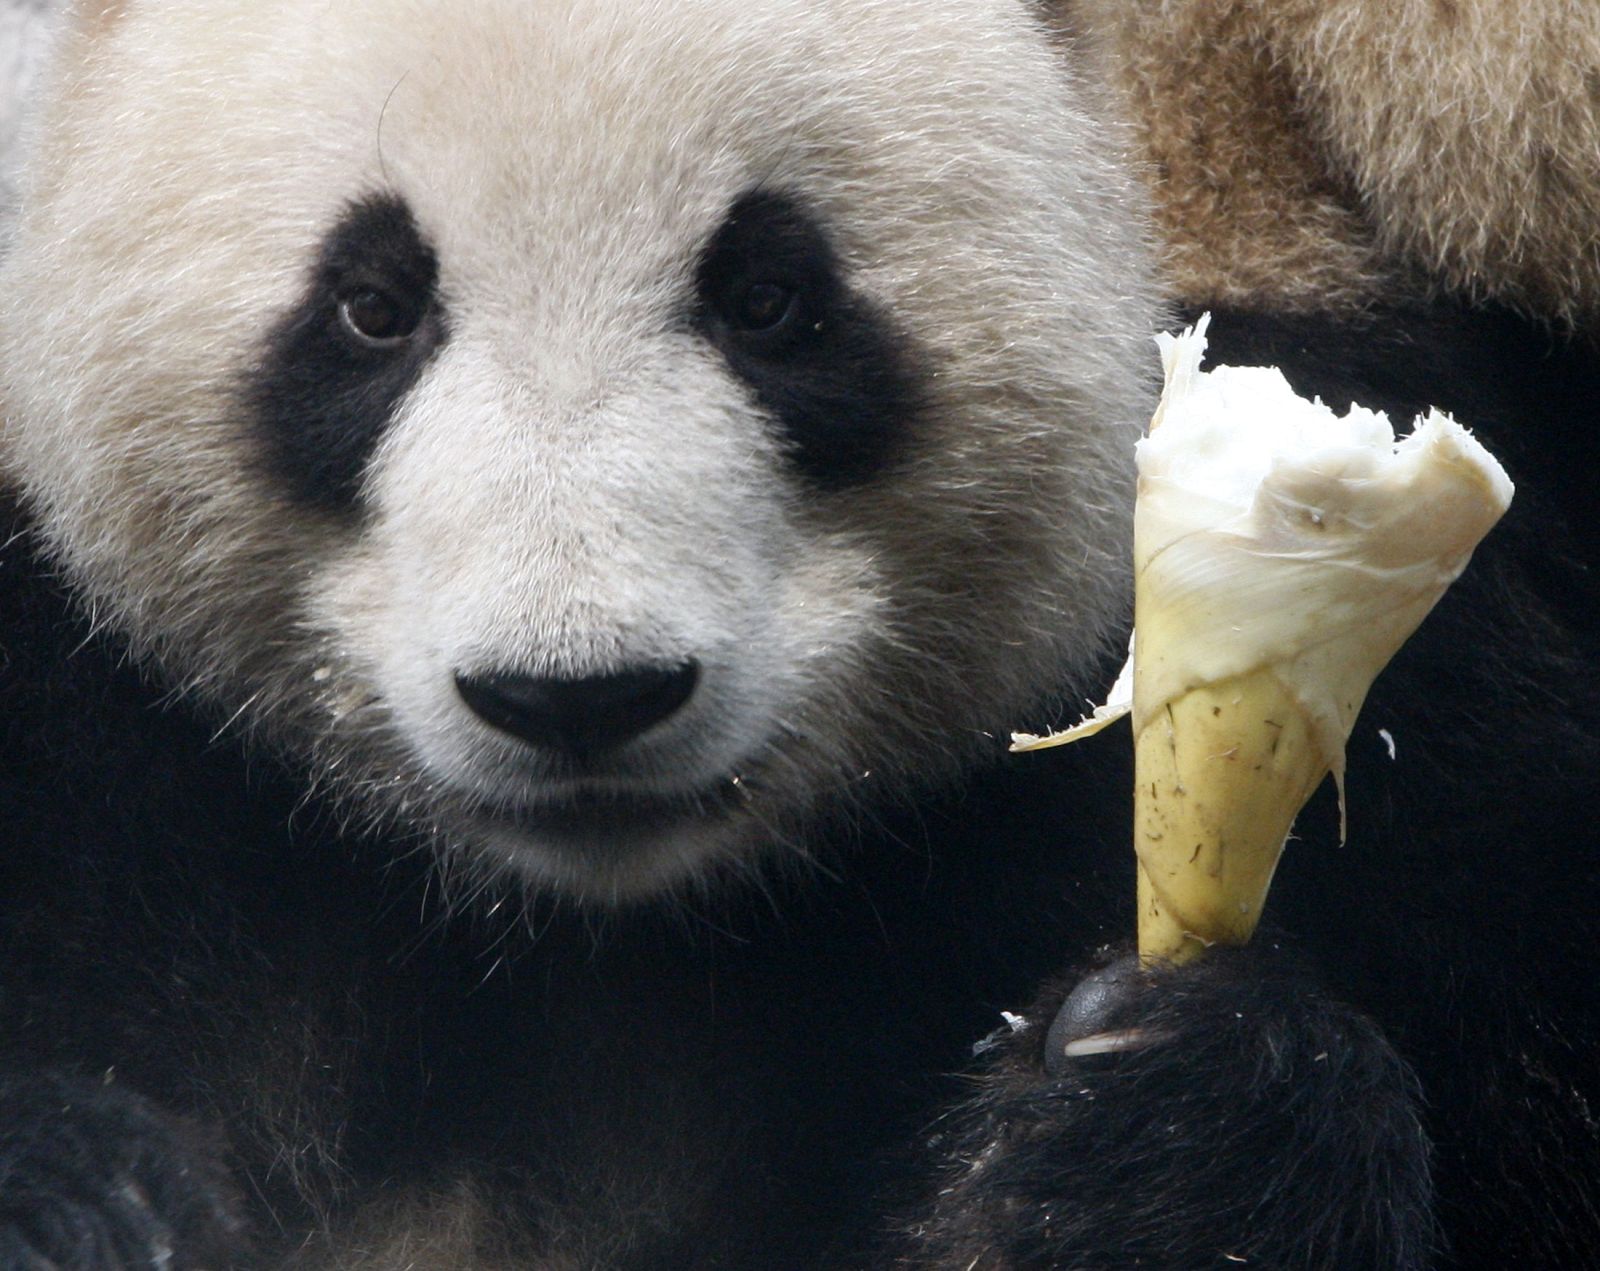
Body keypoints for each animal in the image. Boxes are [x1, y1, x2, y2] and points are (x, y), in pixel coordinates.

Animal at [0, 0, 1596, 1266]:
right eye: (373, 306)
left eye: (768, 299)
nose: (578, 698)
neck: (589, 928)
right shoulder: (108, 756)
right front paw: (83, 1202)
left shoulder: (1430, 774)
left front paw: (1158, 1134)